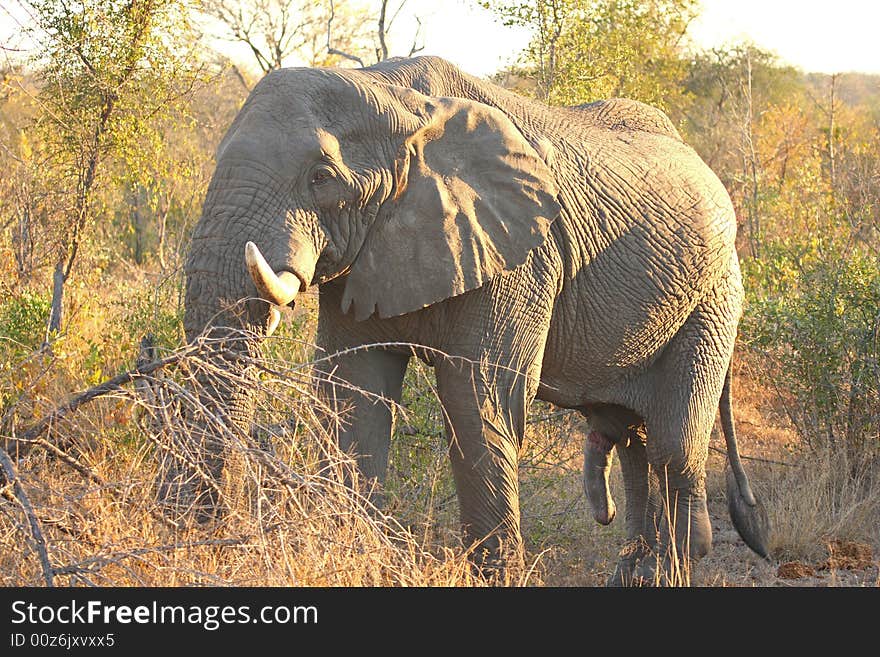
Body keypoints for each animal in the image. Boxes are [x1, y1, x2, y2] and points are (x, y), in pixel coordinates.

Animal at [180, 55, 768, 584]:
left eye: (322, 177)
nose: (201, 538)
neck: (397, 96)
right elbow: (353, 394)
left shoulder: (522, 256)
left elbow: (475, 400)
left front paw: (494, 577)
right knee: (632, 443)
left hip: (714, 297)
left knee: (672, 447)